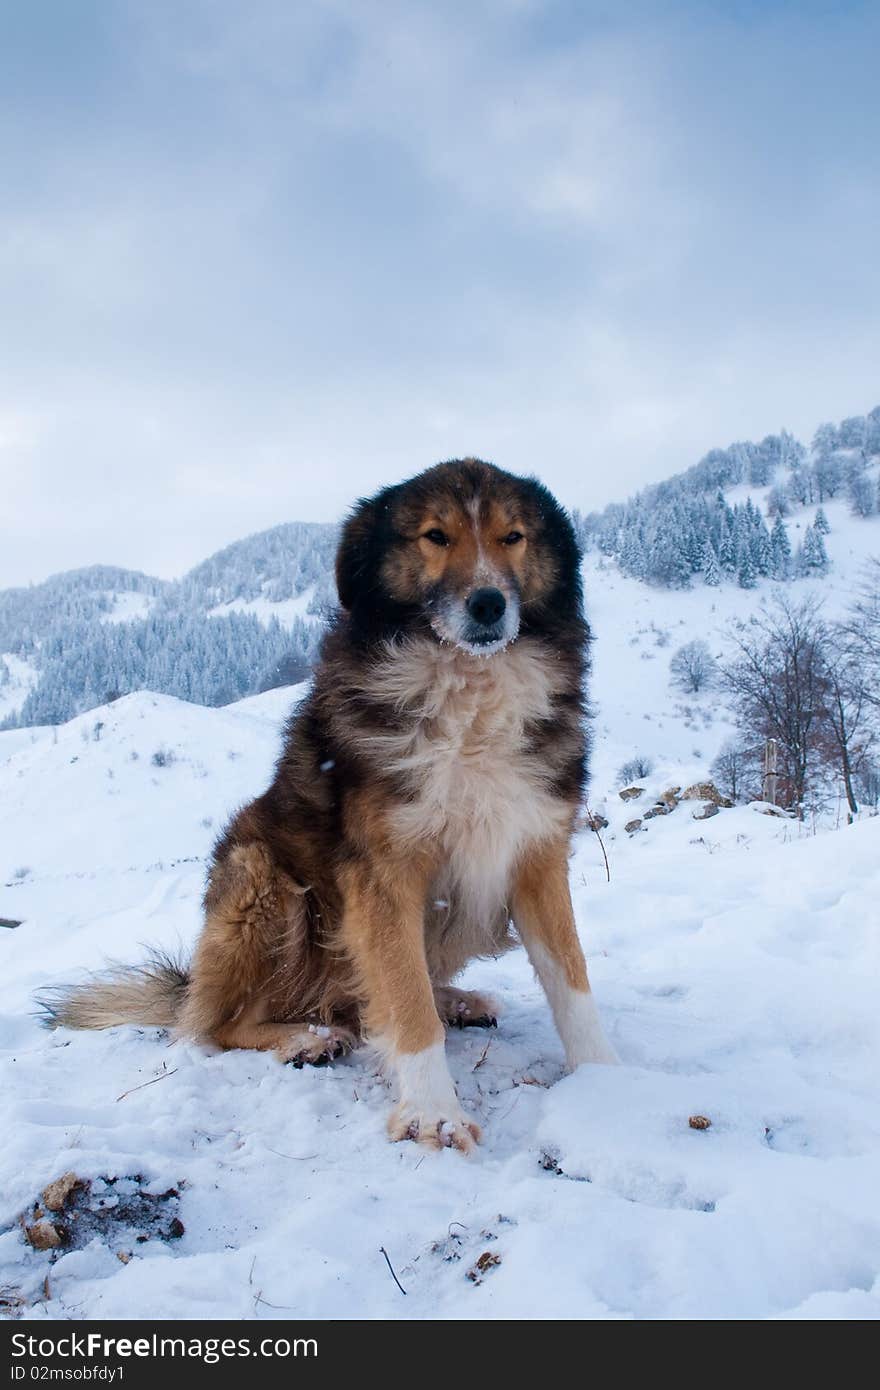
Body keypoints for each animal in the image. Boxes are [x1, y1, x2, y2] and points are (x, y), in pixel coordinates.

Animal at [42, 458, 617, 1150]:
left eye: (514, 537)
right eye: (435, 536)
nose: (488, 603)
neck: (468, 688)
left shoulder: (534, 849)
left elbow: (572, 979)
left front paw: (607, 1085)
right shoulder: (384, 872)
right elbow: (404, 1000)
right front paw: (435, 1113)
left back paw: (454, 999)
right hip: (263, 880)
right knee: (221, 1024)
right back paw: (304, 1039)